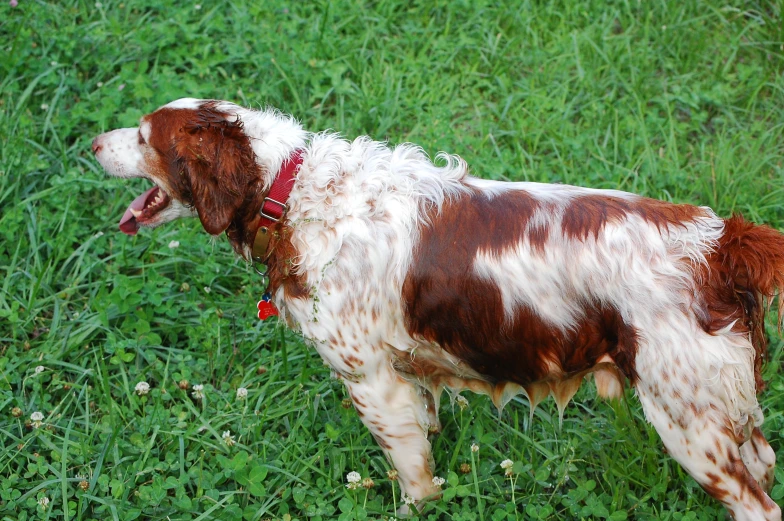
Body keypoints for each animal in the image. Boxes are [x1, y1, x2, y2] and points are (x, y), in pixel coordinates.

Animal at [95, 98, 780, 520]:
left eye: (142, 136)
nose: (94, 141)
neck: (291, 192)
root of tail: (721, 243)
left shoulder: (371, 378)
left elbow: (413, 479)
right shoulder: (408, 377)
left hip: (687, 418)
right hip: (726, 413)